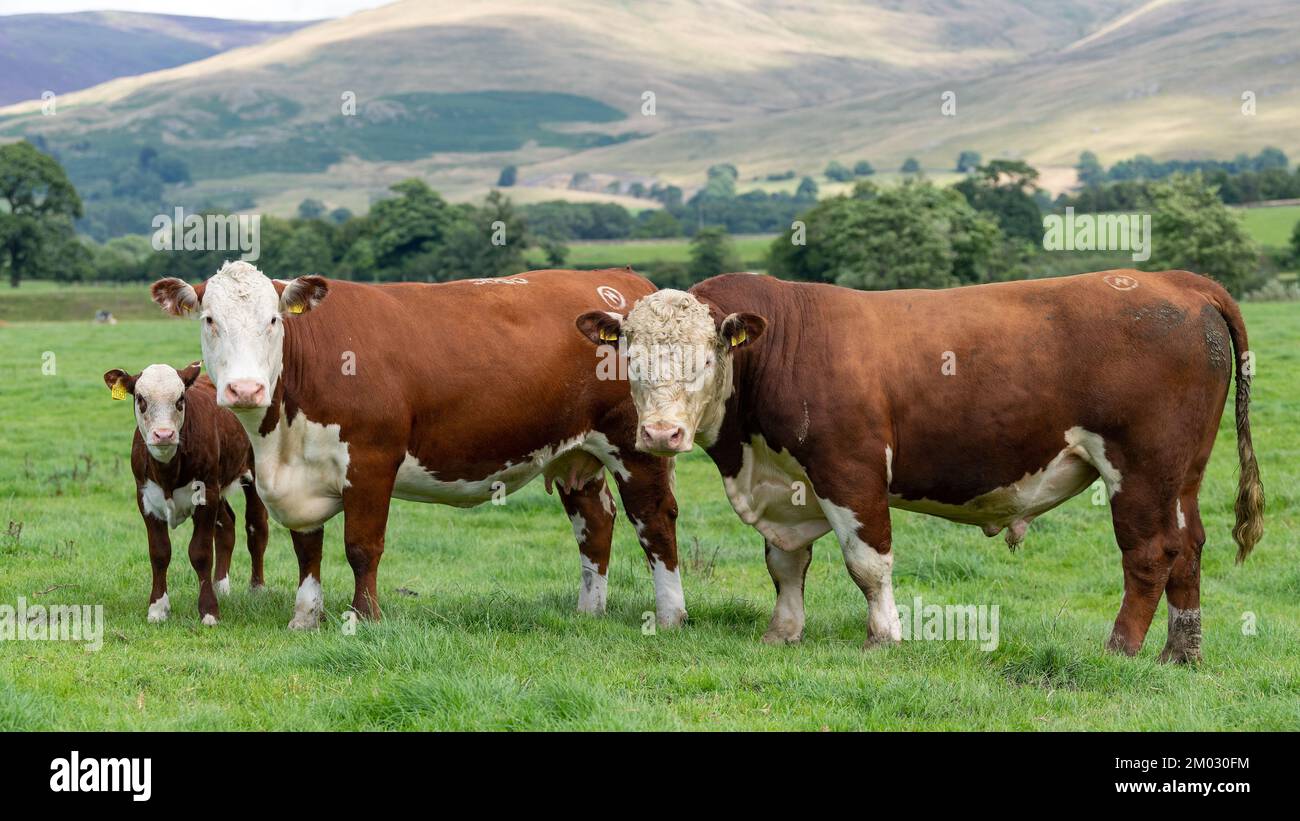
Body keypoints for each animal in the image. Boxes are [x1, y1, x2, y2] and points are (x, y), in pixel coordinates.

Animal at [102, 361, 269, 625]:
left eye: (180, 399)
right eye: (140, 398)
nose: (163, 434)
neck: (168, 471)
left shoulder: (206, 495)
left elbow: (200, 552)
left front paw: (209, 611)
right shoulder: (146, 499)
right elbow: (159, 552)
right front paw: (158, 608)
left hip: (252, 473)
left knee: (256, 527)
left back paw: (257, 589)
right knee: (226, 525)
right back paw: (220, 585)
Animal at [149, 261, 683, 631]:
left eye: (274, 321)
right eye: (210, 319)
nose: (244, 389)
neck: (280, 436)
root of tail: (620, 280)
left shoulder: (370, 462)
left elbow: (361, 547)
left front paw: (363, 618)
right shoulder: (299, 478)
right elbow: (307, 549)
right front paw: (305, 616)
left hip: (638, 445)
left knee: (654, 520)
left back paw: (670, 614)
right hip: (578, 453)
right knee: (595, 523)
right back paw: (588, 611)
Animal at [575, 269, 1263, 662]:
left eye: (706, 357)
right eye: (631, 358)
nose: (660, 433)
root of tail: (1177, 281)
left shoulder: (850, 469)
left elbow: (867, 563)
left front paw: (884, 638)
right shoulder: (787, 485)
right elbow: (786, 565)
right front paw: (783, 632)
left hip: (1140, 465)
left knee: (1149, 552)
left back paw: (1120, 648)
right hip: (1183, 471)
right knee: (1188, 547)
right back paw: (1181, 651)